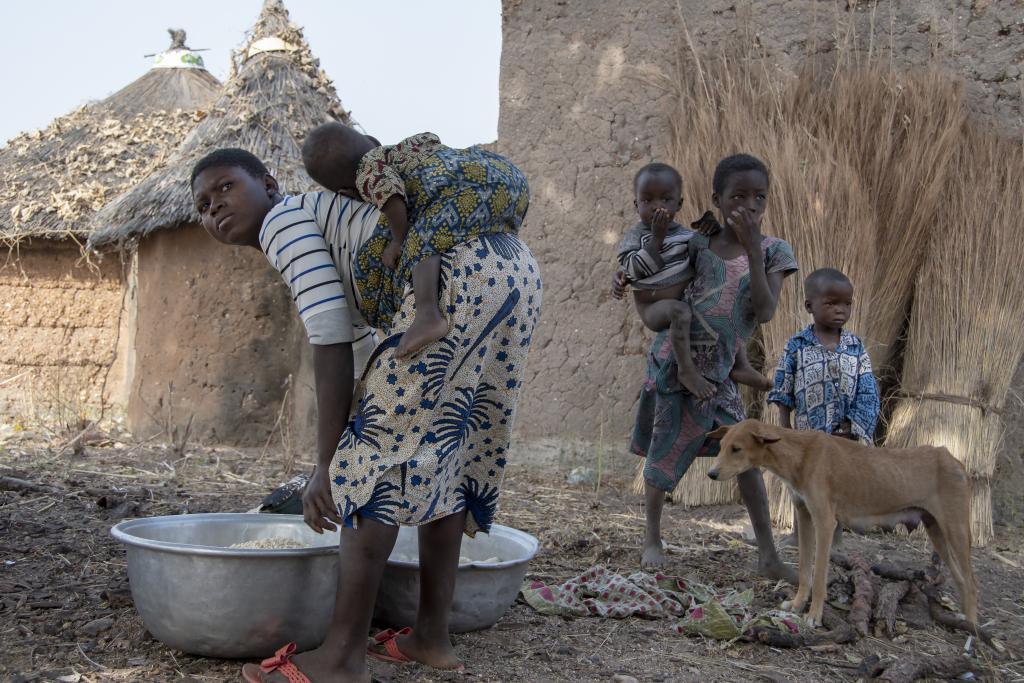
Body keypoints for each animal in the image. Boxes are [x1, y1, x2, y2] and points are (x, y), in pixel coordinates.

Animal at [704, 419, 974, 626]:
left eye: (736, 449)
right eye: (721, 446)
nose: (711, 474)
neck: (801, 454)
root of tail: (954, 459)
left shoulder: (825, 522)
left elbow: (819, 577)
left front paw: (814, 616)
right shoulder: (804, 516)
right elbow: (804, 571)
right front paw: (797, 604)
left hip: (957, 531)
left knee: (973, 583)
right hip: (936, 530)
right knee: (962, 580)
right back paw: (966, 621)